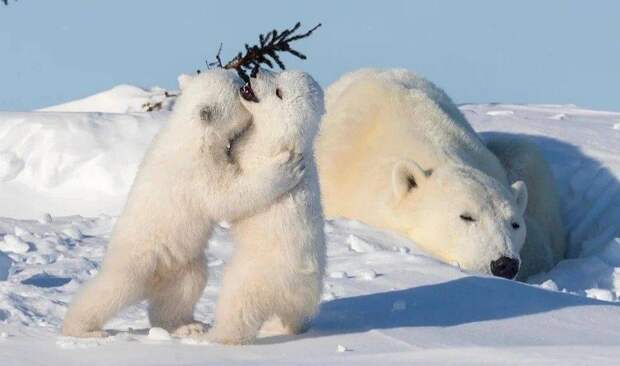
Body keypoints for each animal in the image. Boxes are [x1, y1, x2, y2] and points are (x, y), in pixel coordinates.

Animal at [62, 70, 306, 338]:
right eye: (235, 88)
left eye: (235, 78)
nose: (244, 79)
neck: (190, 134)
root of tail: (154, 279)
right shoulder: (196, 170)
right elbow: (226, 197)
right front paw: (288, 168)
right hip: (137, 261)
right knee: (110, 289)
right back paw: (82, 329)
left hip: (181, 264)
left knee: (185, 289)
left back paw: (188, 326)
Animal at [208, 70, 324, 344]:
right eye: (281, 73)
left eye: (279, 92)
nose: (254, 71)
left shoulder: (256, 156)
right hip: (301, 301)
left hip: (254, 277)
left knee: (237, 305)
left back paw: (217, 336)